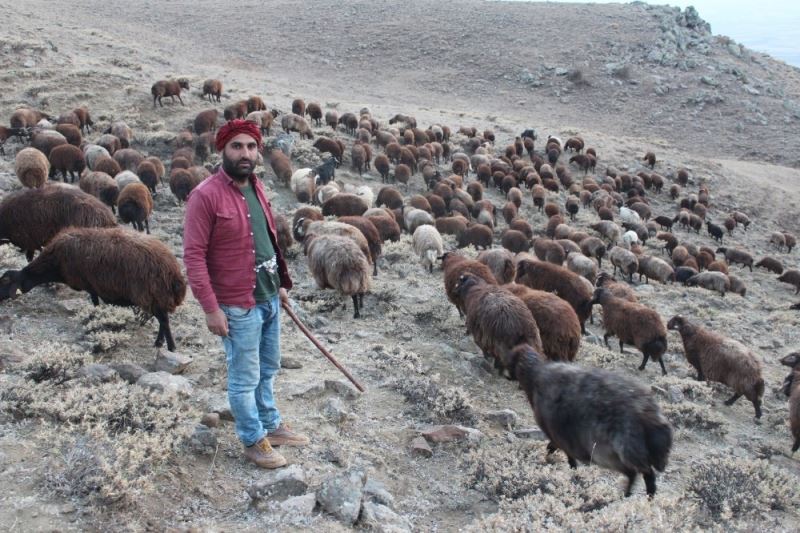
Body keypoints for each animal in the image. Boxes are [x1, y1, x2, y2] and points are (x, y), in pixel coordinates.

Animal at [0, 227, 184, 352]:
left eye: (5, 281)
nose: (0, 299)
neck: (55, 263)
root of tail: (172, 271)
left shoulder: (90, 285)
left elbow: (95, 304)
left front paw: (96, 319)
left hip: (151, 294)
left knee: (164, 320)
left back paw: (170, 346)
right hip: (156, 296)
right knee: (162, 319)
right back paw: (160, 342)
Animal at [510, 342, 672, 496]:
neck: (535, 378)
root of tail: (651, 416)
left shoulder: (558, 435)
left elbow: (562, 454)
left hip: (616, 452)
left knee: (641, 473)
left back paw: (631, 496)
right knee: (642, 474)